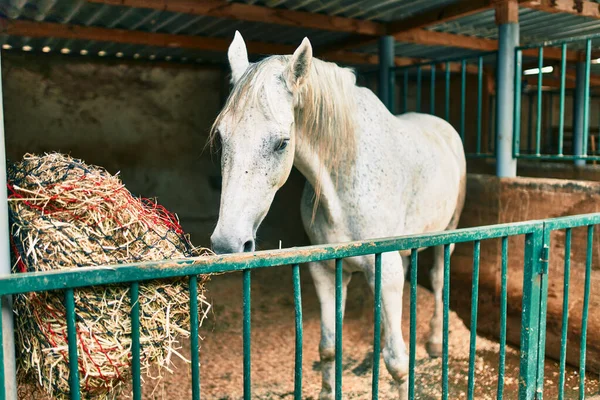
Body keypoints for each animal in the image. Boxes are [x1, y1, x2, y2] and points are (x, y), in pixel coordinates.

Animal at [211, 32, 468, 400]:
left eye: (282, 143)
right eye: (221, 137)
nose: (227, 243)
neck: (343, 186)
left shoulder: (386, 270)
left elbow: (397, 362)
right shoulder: (326, 271)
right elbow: (329, 348)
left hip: (448, 232)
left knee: (437, 279)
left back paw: (434, 342)